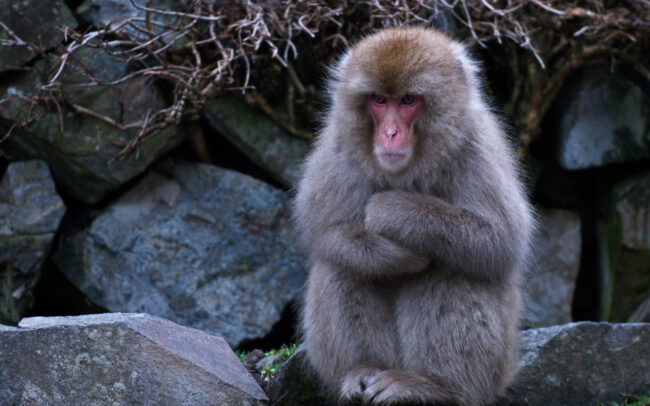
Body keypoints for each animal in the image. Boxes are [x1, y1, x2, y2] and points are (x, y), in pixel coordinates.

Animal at [293, 27, 534, 406]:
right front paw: (393, 257)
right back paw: (362, 370)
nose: (390, 133)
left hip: (497, 370)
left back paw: (432, 387)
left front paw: (394, 210)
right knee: (339, 265)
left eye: (408, 101)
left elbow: (500, 241)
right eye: (379, 100)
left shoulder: (476, 146)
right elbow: (322, 231)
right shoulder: (338, 145)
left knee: (451, 268)